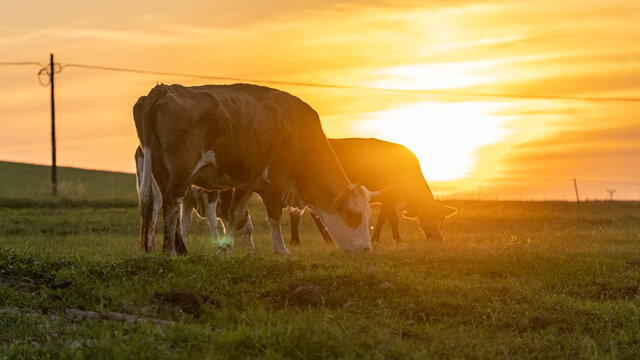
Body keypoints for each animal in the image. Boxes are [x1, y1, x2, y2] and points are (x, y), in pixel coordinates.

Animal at [136, 83, 376, 255]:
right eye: (354, 215)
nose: (366, 249)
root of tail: (163, 89)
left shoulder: (246, 183)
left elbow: (236, 214)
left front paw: (226, 248)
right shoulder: (275, 182)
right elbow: (274, 216)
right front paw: (280, 249)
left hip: (160, 170)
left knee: (162, 205)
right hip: (180, 172)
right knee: (171, 205)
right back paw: (170, 251)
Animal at [290, 138, 456, 245]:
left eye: (442, 219)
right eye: (428, 215)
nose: (439, 239)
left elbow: (388, 217)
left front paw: (391, 238)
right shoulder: (390, 195)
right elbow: (387, 217)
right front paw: (388, 239)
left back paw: (327, 240)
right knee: (297, 213)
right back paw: (296, 241)